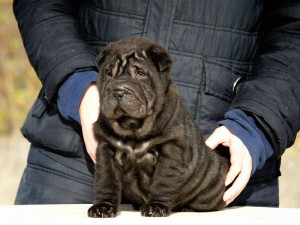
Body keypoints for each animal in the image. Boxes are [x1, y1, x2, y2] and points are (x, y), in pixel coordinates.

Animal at [88, 37, 229, 218]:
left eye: (140, 74)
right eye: (108, 73)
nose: (118, 91)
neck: (133, 127)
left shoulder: (171, 149)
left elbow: (163, 181)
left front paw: (156, 207)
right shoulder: (107, 148)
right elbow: (106, 180)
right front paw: (103, 207)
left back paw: (189, 207)